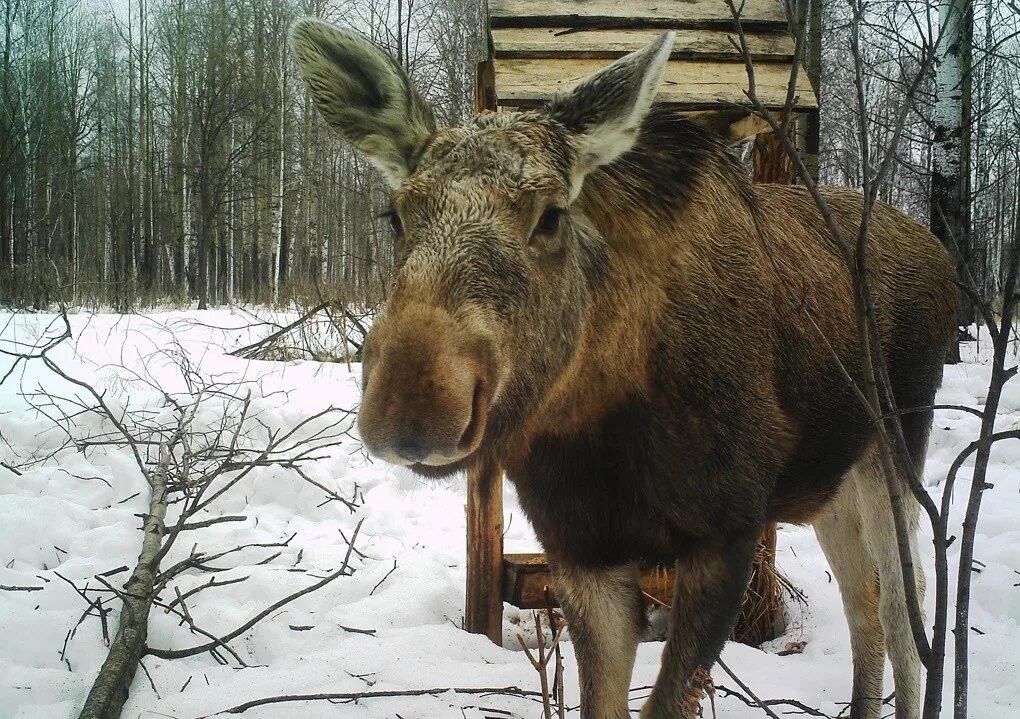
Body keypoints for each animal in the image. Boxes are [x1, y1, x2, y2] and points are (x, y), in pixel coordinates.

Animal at [293, 21, 954, 717]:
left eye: (552, 215)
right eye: (394, 215)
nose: (410, 407)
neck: (597, 424)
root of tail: (941, 256)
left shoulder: (726, 531)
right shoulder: (580, 546)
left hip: (895, 448)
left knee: (906, 608)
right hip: (829, 479)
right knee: (864, 603)